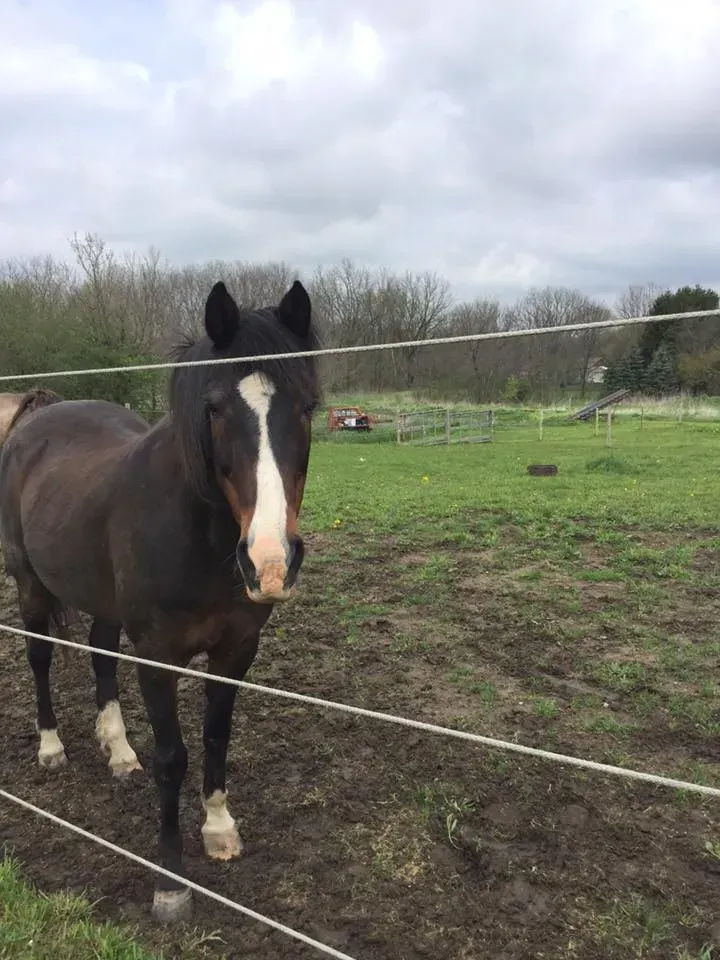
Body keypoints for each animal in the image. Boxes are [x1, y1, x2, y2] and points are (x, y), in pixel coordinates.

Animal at [0, 279, 320, 923]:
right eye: (215, 408)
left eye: (307, 407)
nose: (271, 561)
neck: (200, 537)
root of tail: (38, 416)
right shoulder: (157, 657)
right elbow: (174, 757)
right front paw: (170, 883)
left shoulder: (236, 651)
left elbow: (216, 737)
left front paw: (219, 830)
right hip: (28, 583)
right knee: (40, 658)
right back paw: (51, 747)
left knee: (99, 655)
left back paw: (119, 752)